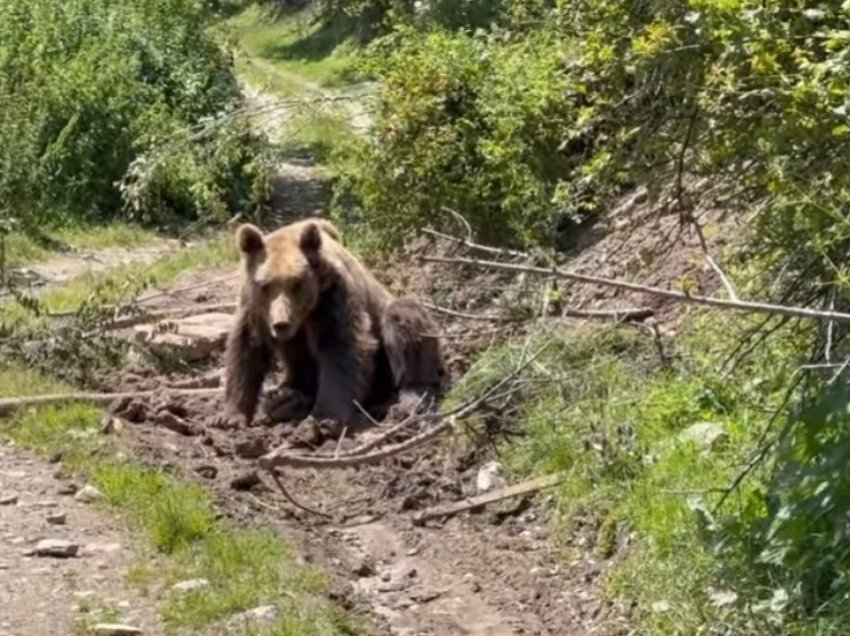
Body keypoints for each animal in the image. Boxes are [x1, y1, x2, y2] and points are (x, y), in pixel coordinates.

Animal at [217, 216, 444, 430]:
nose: (281, 323)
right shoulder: (254, 308)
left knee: (404, 321)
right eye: (265, 285)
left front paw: (324, 417)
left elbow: (341, 346)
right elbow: (246, 348)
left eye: (296, 283)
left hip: (387, 346)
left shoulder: (333, 296)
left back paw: (409, 397)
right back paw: (286, 400)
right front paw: (231, 417)